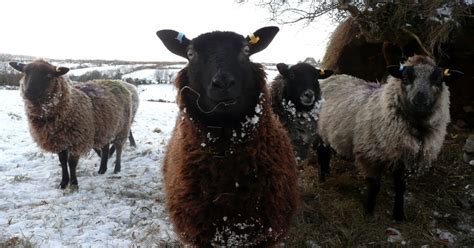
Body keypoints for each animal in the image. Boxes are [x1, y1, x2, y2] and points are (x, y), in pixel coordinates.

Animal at [8, 60, 133, 188]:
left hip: (123, 127)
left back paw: (117, 168)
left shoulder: (76, 140)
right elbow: (63, 162)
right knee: (105, 147)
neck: (69, 106)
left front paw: (73, 183)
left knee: (118, 148)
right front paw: (63, 182)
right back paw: (102, 169)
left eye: (49, 75)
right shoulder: (59, 141)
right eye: (25, 73)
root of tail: (117, 82)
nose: (29, 92)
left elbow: (72, 163)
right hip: (105, 127)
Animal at [316, 53, 462, 221]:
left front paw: (399, 215)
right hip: (319, 131)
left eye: (438, 80)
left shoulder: (404, 159)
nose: (420, 101)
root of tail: (332, 77)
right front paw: (368, 212)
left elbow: (400, 187)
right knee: (321, 152)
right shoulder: (370, 155)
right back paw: (322, 178)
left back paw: (327, 173)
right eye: (405, 78)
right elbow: (375, 186)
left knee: (326, 153)